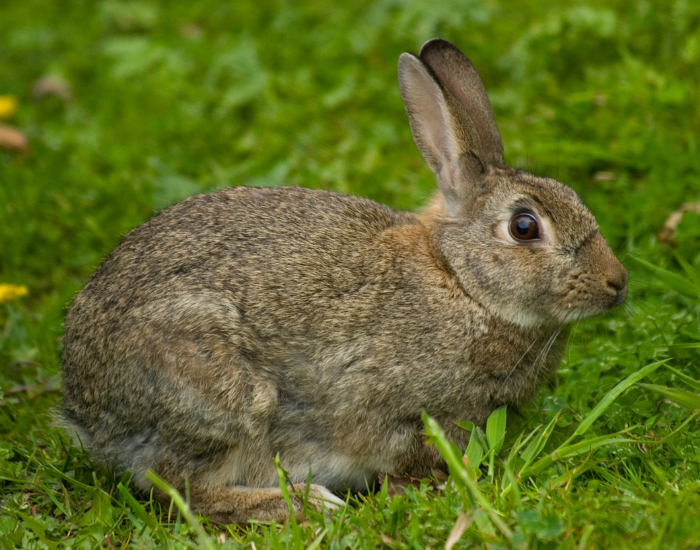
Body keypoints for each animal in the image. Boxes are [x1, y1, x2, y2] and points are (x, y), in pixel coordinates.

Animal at [60, 38, 627, 524]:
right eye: (524, 227)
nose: (617, 283)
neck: (462, 282)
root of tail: (85, 410)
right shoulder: (399, 409)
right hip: (220, 395)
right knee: (182, 490)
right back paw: (304, 503)